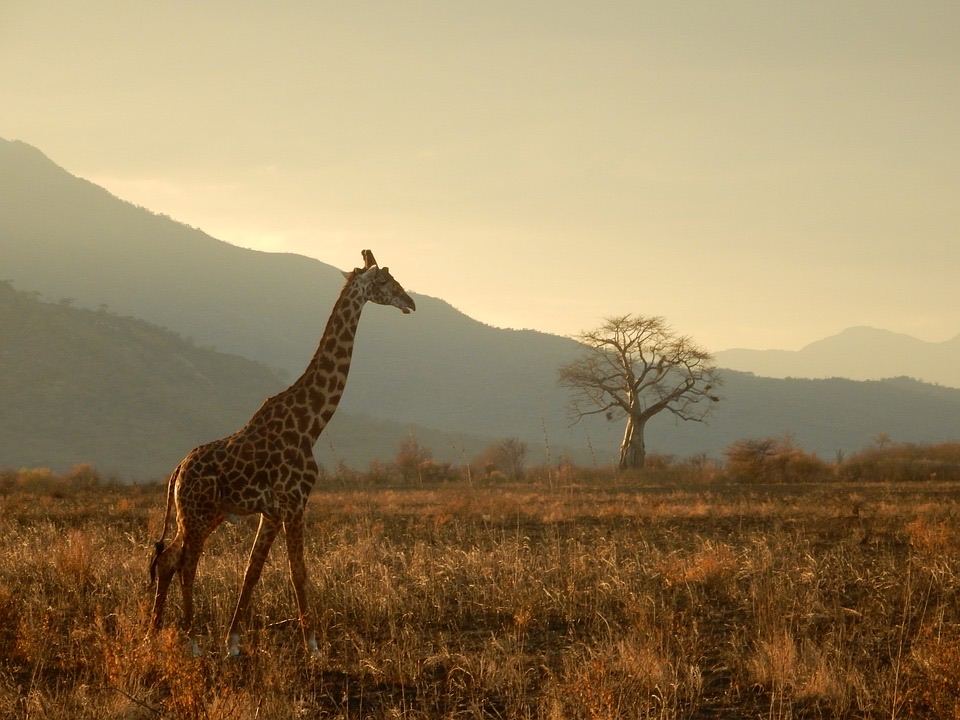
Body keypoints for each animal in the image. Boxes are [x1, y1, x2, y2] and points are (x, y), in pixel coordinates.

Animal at [147, 249, 415, 656]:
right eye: (386, 280)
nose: (410, 302)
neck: (312, 424)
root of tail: (177, 471)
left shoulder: (272, 511)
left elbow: (252, 571)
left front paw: (233, 642)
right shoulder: (293, 502)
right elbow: (298, 571)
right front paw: (314, 646)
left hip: (199, 515)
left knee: (168, 559)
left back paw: (153, 634)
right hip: (197, 514)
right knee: (187, 563)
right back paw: (190, 640)